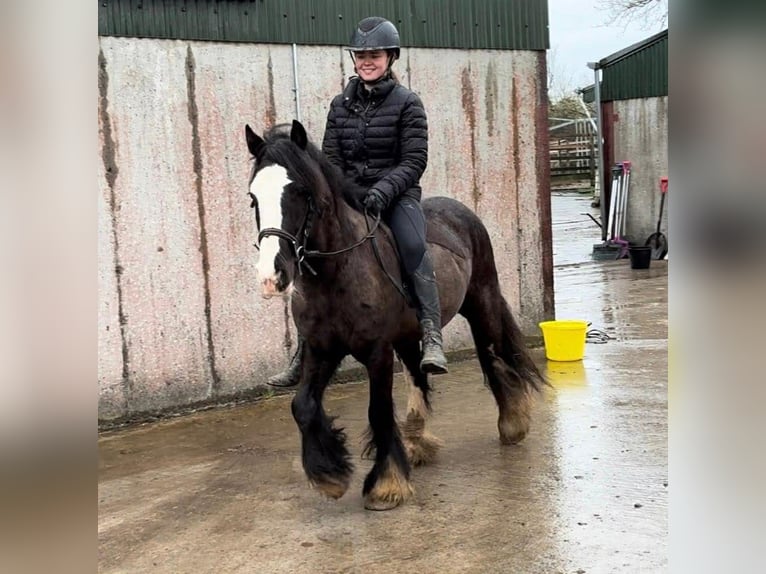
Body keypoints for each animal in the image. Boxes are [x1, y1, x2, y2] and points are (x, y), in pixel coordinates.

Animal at [245, 120, 544, 510]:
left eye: (299, 191)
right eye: (254, 197)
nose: (271, 276)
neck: (338, 271)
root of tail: (461, 210)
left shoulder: (376, 351)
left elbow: (378, 410)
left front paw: (386, 485)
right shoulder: (322, 349)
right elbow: (303, 406)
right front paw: (329, 475)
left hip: (482, 300)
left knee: (493, 352)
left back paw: (513, 422)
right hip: (408, 332)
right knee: (418, 373)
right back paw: (417, 441)